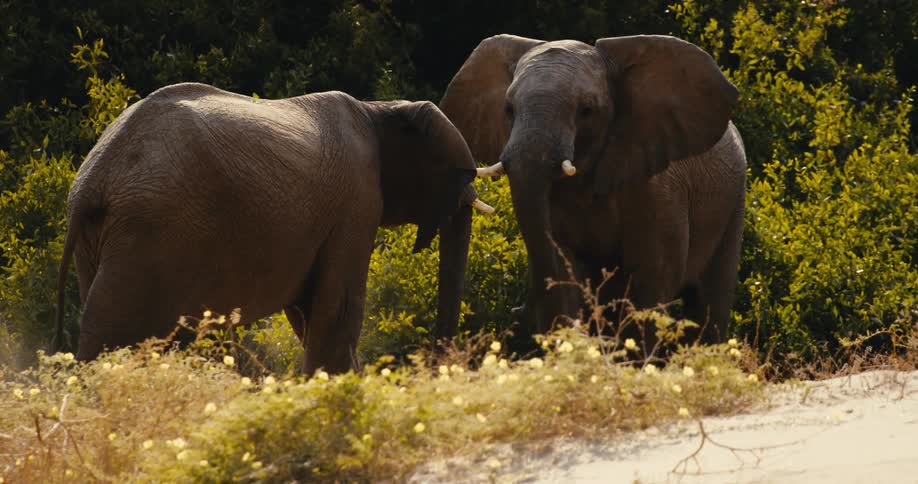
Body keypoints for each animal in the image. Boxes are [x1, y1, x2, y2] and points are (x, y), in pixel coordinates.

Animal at [55, 82, 494, 374]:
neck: (380, 110)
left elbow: (307, 311)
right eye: (458, 175)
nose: (439, 365)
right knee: (111, 333)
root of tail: (93, 180)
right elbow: (338, 307)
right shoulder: (356, 202)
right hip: (150, 231)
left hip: (107, 239)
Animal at [439, 35, 746, 344]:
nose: (517, 312)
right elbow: (566, 271)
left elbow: (653, 279)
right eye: (508, 109)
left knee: (710, 304)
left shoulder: (658, 192)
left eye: (586, 110)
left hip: (734, 203)